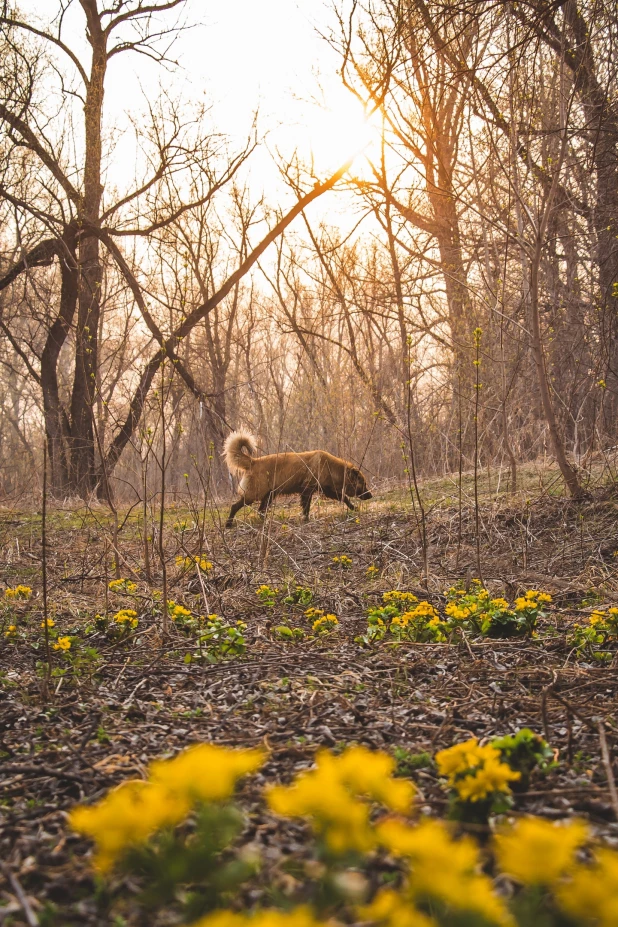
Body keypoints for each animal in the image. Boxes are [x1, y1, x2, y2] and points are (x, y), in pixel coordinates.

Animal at [223, 430, 370, 524]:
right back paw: (229, 523)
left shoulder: (325, 489)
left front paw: (353, 507)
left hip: (268, 495)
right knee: (235, 506)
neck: (329, 466)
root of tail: (253, 461)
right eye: (364, 483)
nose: (370, 495)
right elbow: (306, 507)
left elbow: (343, 497)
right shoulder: (307, 491)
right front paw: (306, 519)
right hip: (254, 495)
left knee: (261, 511)